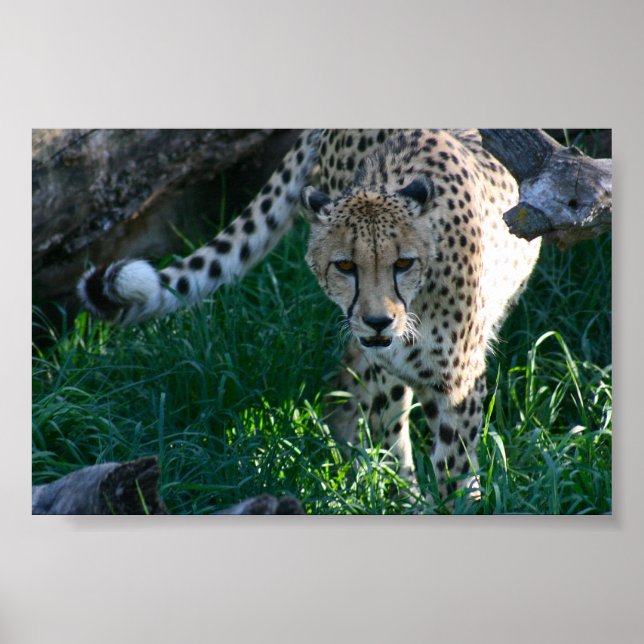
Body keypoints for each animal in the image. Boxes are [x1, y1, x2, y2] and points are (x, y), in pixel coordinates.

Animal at [78, 129, 541, 507]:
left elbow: (454, 466)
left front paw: (456, 506)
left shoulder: (458, 381)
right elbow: (394, 439)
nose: (378, 321)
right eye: (345, 266)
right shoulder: (388, 371)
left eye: (403, 263)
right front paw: (406, 501)